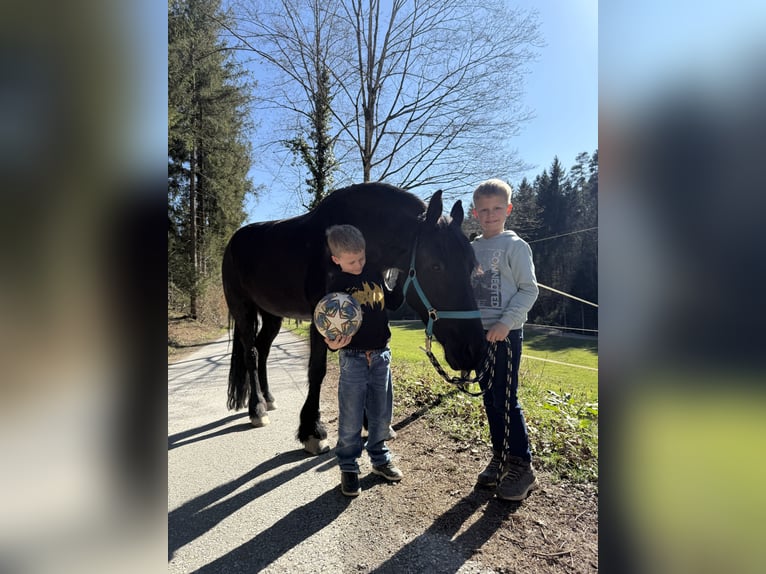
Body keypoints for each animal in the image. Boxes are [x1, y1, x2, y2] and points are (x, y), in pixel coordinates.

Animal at [221, 182, 487, 454]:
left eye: (470, 266)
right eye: (436, 266)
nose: (474, 350)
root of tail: (232, 243)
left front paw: (370, 423)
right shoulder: (321, 319)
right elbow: (317, 369)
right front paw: (313, 431)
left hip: (272, 316)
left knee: (263, 350)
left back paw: (268, 399)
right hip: (242, 309)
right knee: (252, 353)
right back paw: (257, 409)